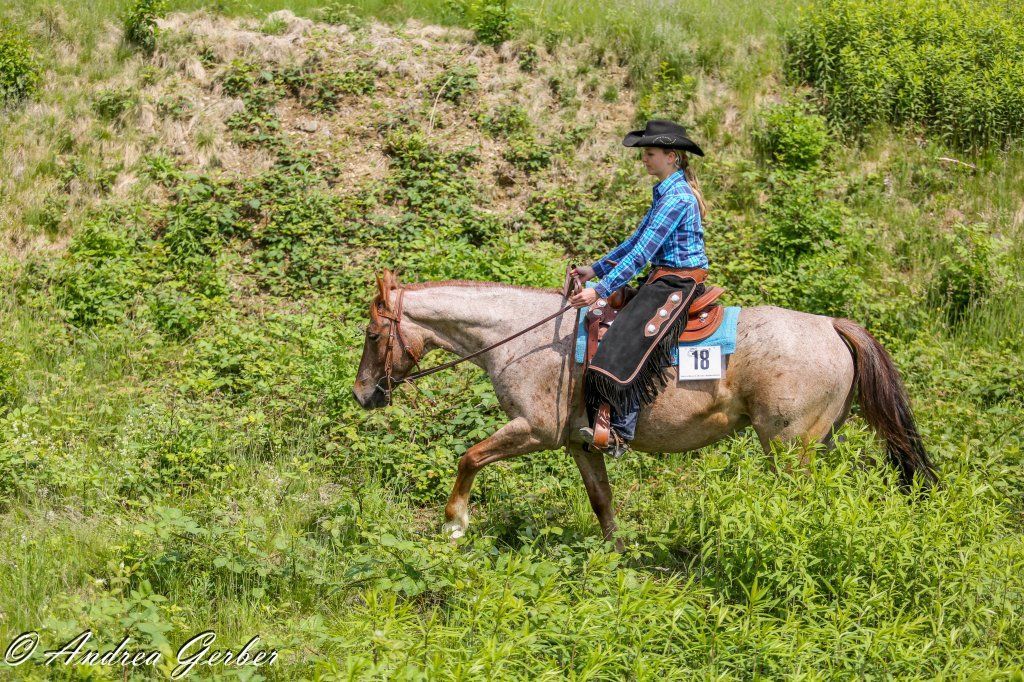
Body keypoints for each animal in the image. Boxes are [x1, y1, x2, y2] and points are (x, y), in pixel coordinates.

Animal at [352, 270, 937, 550]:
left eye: (373, 333)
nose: (362, 394)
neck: (527, 338)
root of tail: (832, 326)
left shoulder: (534, 430)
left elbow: (470, 457)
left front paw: (455, 523)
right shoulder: (579, 442)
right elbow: (602, 499)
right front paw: (617, 556)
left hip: (790, 447)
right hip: (816, 442)